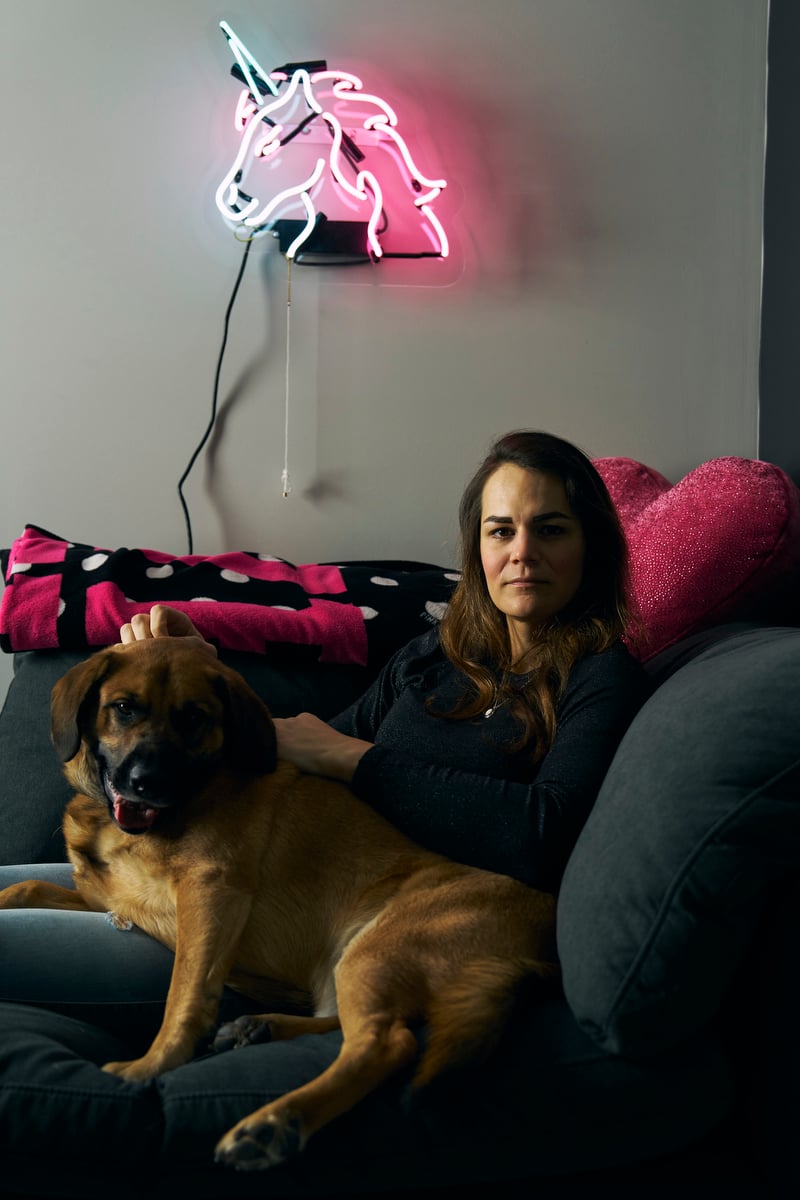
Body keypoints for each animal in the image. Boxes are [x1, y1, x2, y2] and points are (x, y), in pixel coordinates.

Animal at [0, 643, 561, 1166]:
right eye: (123, 708)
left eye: (194, 717)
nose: (147, 784)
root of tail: (544, 933)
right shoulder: (112, 900)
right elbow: (25, 890)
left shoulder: (210, 894)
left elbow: (184, 994)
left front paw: (153, 1064)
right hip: (351, 961)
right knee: (354, 1022)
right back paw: (262, 1028)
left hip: (374, 949)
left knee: (386, 1041)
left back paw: (274, 1123)